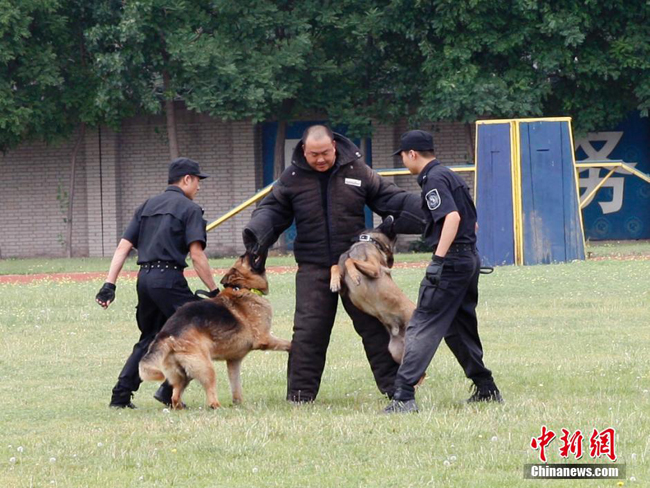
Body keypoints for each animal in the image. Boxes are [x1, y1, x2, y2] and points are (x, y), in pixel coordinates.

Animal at [138, 252, 290, 408]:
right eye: (243, 258)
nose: (252, 251)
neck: (244, 288)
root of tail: (167, 334)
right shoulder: (264, 339)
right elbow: (287, 343)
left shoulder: (233, 361)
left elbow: (236, 387)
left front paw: (238, 404)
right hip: (206, 368)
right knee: (210, 398)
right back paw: (218, 407)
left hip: (184, 374)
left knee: (175, 397)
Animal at [330, 216, 416, 362]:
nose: (391, 216)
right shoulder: (344, 290)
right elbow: (335, 266)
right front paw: (334, 282)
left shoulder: (375, 269)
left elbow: (350, 261)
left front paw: (355, 275)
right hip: (396, 351)